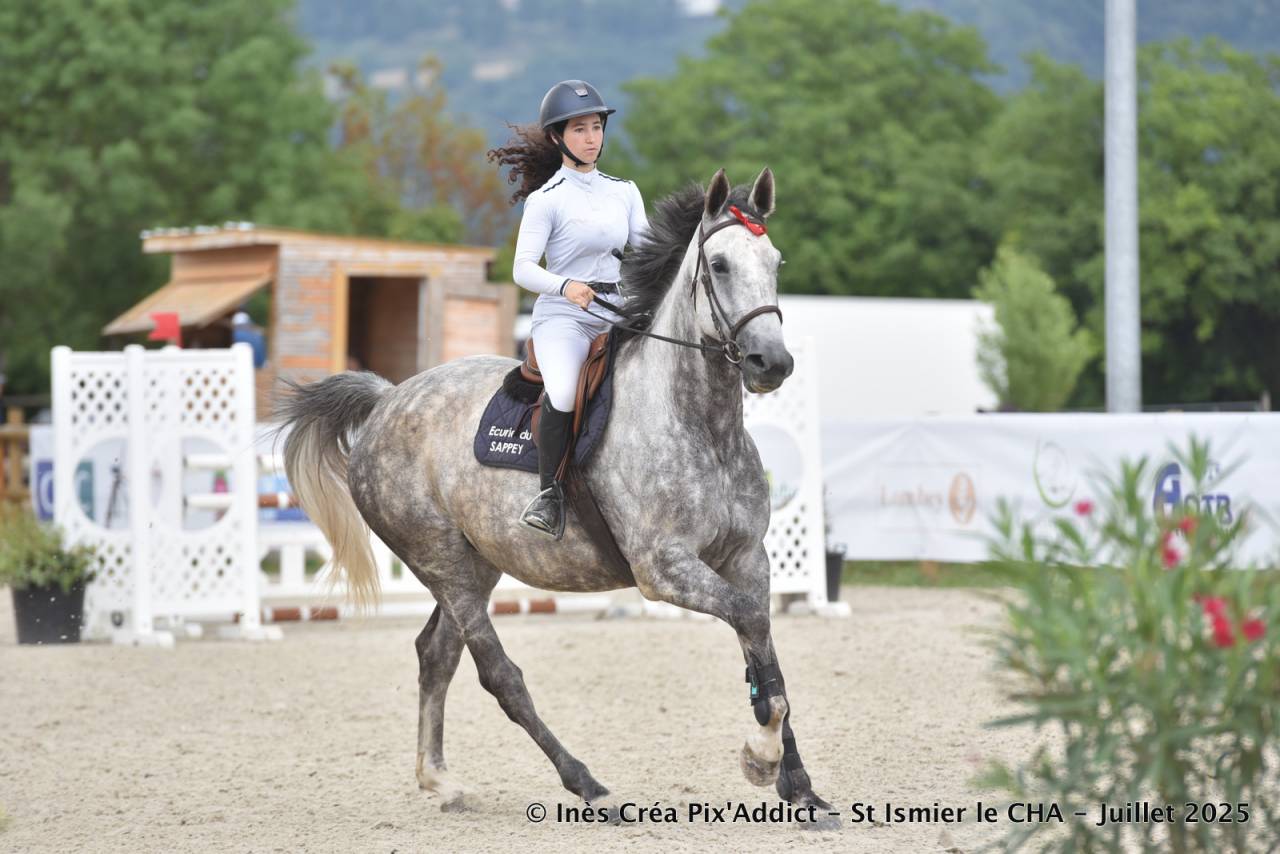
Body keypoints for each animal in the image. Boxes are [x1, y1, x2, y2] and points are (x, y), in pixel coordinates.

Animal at [278, 167, 836, 825]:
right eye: (719, 265)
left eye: (775, 262)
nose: (771, 362)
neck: (700, 423)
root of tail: (389, 399)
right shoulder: (664, 568)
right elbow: (751, 626)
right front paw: (760, 757)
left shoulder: (748, 557)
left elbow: (765, 653)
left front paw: (798, 785)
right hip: (440, 561)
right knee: (499, 675)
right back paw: (587, 783)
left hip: (474, 566)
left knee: (435, 654)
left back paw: (440, 780)